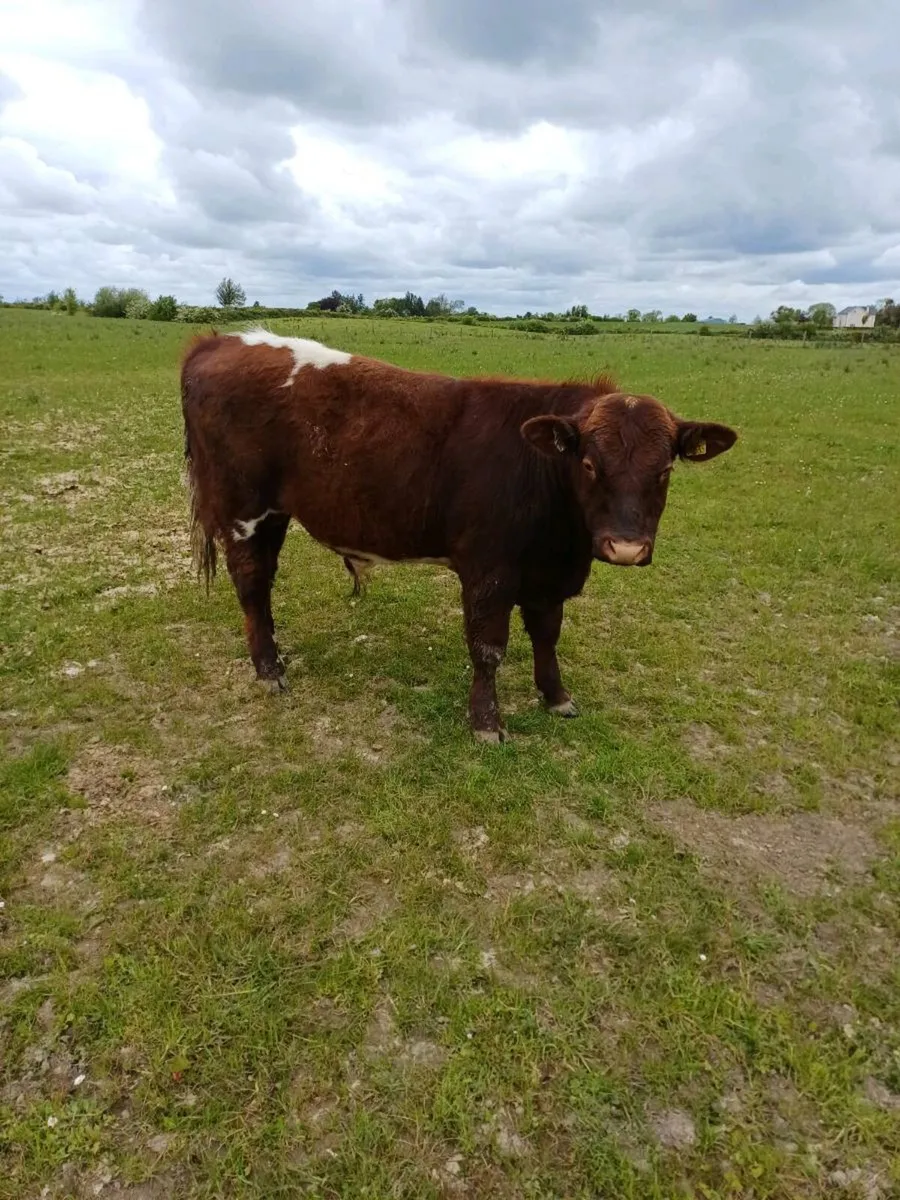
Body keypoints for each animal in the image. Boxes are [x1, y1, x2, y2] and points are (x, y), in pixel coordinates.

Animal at [180, 329, 737, 742]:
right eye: (588, 464)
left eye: (665, 469)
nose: (626, 547)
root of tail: (220, 340)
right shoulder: (489, 571)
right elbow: (488, 647)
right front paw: (487, 723)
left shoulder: (545, 576)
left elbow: (547, 634)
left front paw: (556, 696)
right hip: (244, 509)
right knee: (252, 582)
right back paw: (269, 670)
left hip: (274, 513)